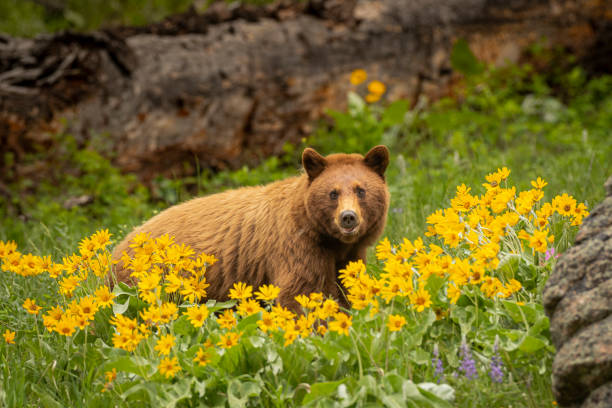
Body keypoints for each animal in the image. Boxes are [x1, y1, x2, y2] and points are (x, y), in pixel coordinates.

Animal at [112, 147, 390, 312]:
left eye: (361, 190)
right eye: (333, 193)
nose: (348, 218)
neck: (329, 240)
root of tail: (117, 249)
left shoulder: (348, 255)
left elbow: (346, 287)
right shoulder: (296, 247)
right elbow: (299, 292)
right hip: (154, 281)